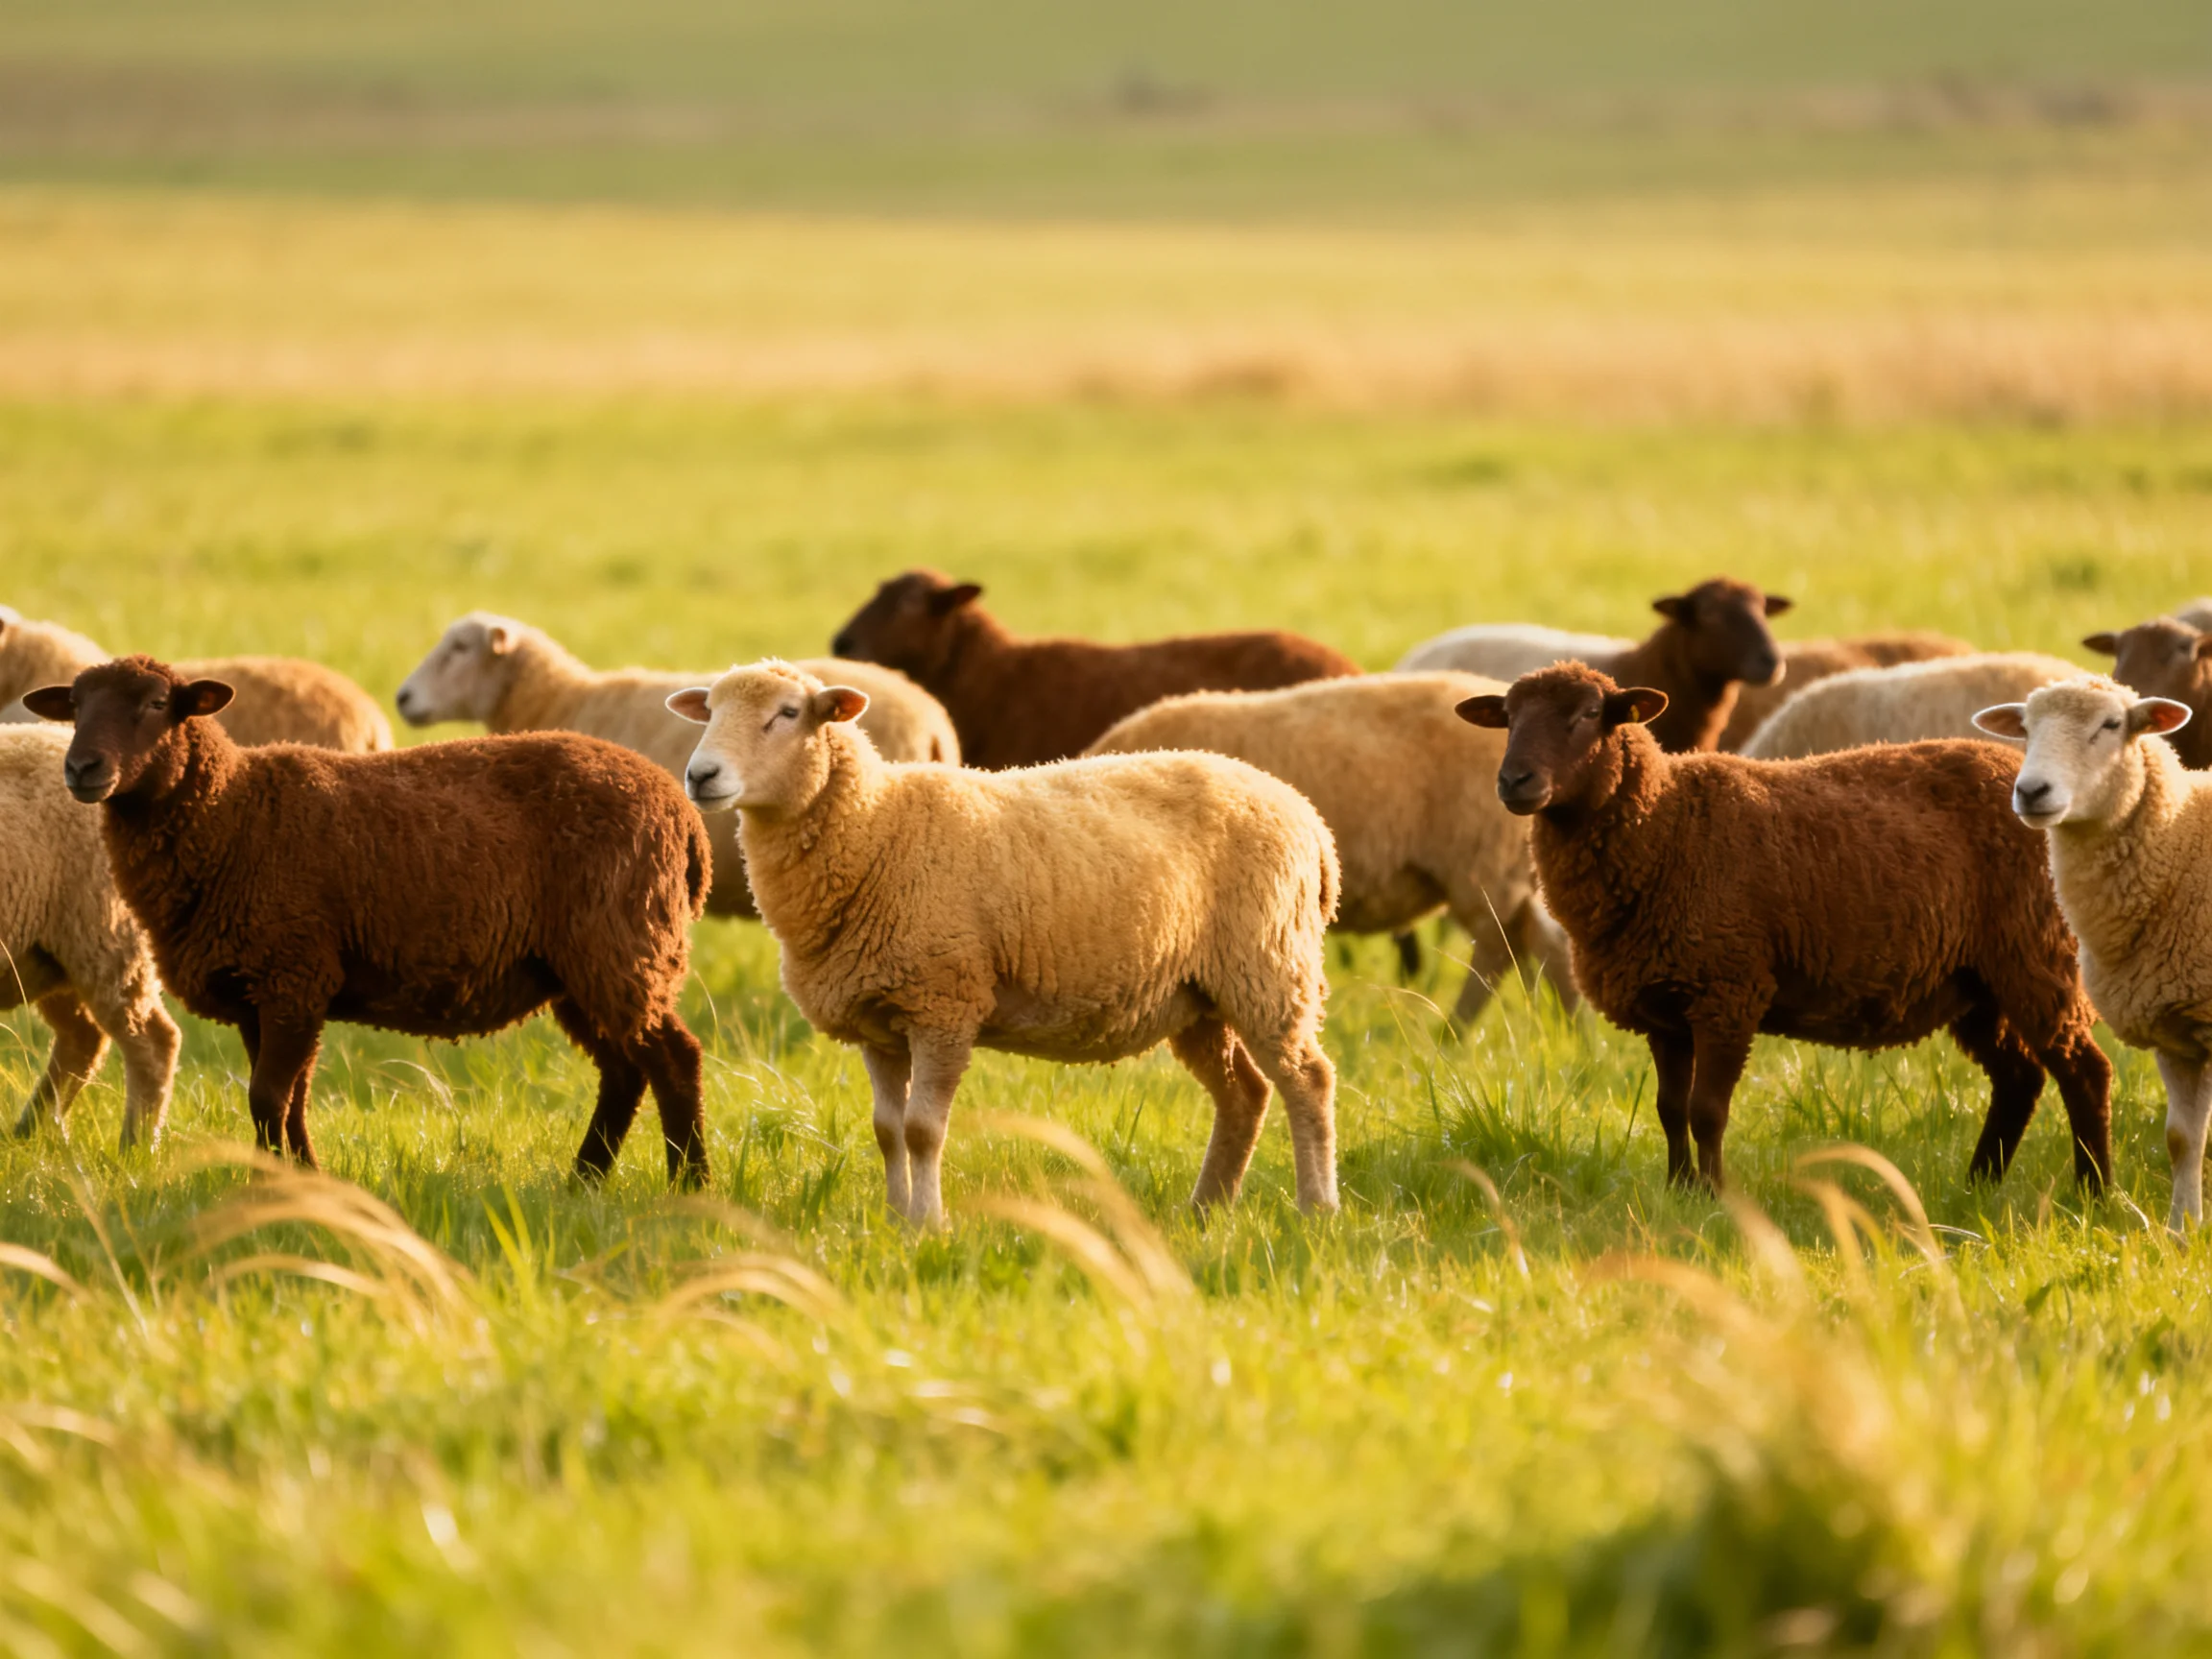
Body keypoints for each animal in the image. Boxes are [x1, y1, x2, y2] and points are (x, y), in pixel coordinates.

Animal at [0, 726, 178, 1149]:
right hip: (47, 955)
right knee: (82, 1039)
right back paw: (30, 1129)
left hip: (105, 936)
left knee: (153, 1042)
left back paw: (136, 1146)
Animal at [26, 657, 711, 1184]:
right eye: (75, 706)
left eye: (158, 702)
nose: (82, 768)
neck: (232, 814)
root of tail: (682, 815)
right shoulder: (266, 989)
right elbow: (288, 1101)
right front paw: (299, 1179)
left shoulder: (293, 974)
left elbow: (268, 1098)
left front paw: (280, 1184)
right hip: (581, 968)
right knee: (624, 1072)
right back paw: (584, 1181)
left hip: (619, 943)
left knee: (674, 1060)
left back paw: (688, 1184)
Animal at [669, 659, 1342, 1225]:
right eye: (712, 711)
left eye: (787, 713)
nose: (700, 775)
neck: (875, 825)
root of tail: (1307, 816)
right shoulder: (878, 1019)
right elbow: (887, 1129)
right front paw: (892, 1220)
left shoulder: (942, 1003)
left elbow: (921, 1130)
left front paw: (927, 1225)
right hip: (1199, 994)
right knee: (1244, 1095)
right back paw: (1205, 1208)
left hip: (1267, 965)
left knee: (1307, 1080)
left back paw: (1316, 1208)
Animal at [1457, 663, 2112, 1193]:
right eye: (1508, 718)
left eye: (1591, 714)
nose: (1513, 782)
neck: (1666, 825)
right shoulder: (1664, 1004)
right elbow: (1670, 1110)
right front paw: (1677, 1190)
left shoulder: (1727, 991)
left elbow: (1706, 1110)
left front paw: (1715, 1197)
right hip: (1977, 983)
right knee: (2019, 1079)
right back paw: (1978, 1185)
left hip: (2035, 957)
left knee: (2084, 1072)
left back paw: (2093, 1191)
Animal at [1974, 678, 2212, 1228]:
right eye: (2025, 728)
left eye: (2111, 724)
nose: (2030, 791)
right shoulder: (2175, 1029)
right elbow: (2182, 1140)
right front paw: (2182, 1233)